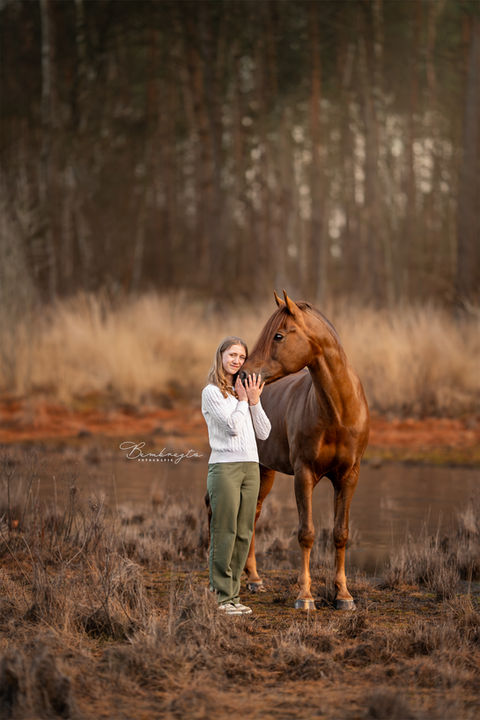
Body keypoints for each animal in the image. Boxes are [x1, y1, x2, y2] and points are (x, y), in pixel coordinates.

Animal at [239, 290, 370, 610]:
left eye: (278, 335)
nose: (244, 376)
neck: (338, 414)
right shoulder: (304, 474)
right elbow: (306, 533)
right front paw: (305, 596)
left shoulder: (349, 476)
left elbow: (340, 533)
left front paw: (343, 596)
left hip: (265, 472)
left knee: (253, 514)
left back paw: (254, 579)